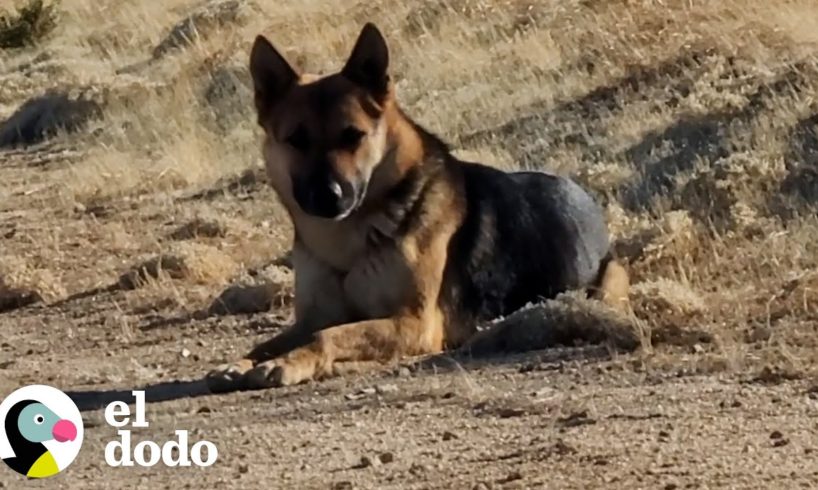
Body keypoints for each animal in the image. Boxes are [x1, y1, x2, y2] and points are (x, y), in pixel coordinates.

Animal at [207, 23, 628, 392]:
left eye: (352, 136)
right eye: (296, 139)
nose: (329, 195)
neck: (350, 240)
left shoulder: (413, 322)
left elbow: (327, 336)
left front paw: (289, 363)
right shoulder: (312, 317)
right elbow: (270, 342)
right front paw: (241, 363)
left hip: (608, 283)